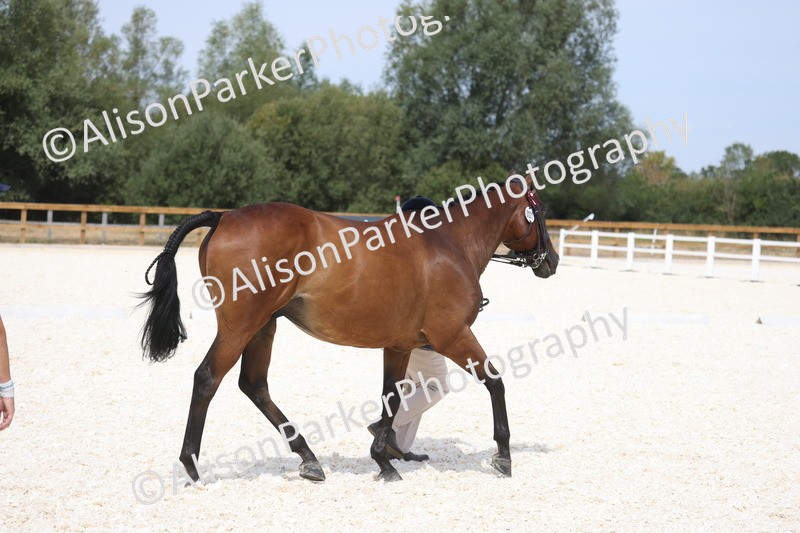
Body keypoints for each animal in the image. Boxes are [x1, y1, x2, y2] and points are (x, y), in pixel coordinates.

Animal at [139, 173, 559, 482]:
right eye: (539, 210)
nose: (551, 261)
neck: (450, 244)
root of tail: (224, 216)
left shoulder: (400, 345)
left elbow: (391, 397)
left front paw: (384, 461)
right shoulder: (453, 335)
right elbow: (495, 381)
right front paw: (503, 456)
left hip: (263, 327)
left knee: (254, 385)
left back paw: (309, 459)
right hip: (240, 326)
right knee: (207, 378)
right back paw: (192, 466)